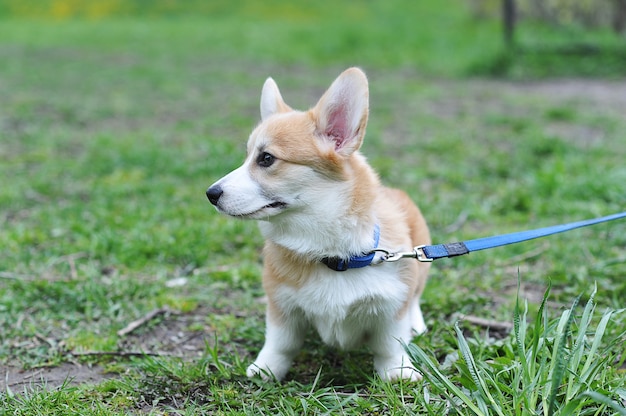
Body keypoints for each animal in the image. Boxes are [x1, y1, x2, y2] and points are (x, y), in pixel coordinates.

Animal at [205, 67, 428, 380]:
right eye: (247, 156)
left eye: (266, 158)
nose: (210, 194)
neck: (331, 253)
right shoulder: (282, 305)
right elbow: (280, 343)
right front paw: (266, 370)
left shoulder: (392, 305)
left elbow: (390, 344)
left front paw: (397, 372)